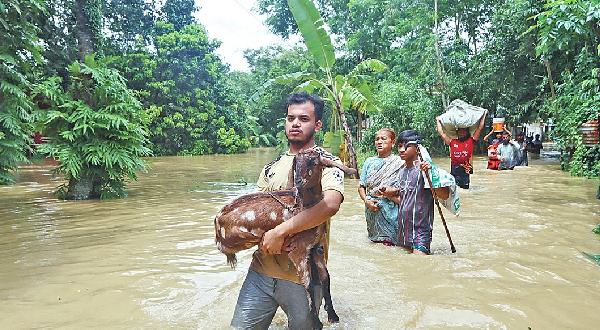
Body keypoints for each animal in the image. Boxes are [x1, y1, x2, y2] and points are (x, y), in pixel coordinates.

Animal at [214, 149, 356, 328]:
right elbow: (309, 283)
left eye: (314, 161)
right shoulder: (299, 251)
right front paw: (316, 321)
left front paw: (332, 315)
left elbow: (326, 278)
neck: (304, 205)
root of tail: (217, 220)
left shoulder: (316, 248)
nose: (298, 181)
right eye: (296, 163)